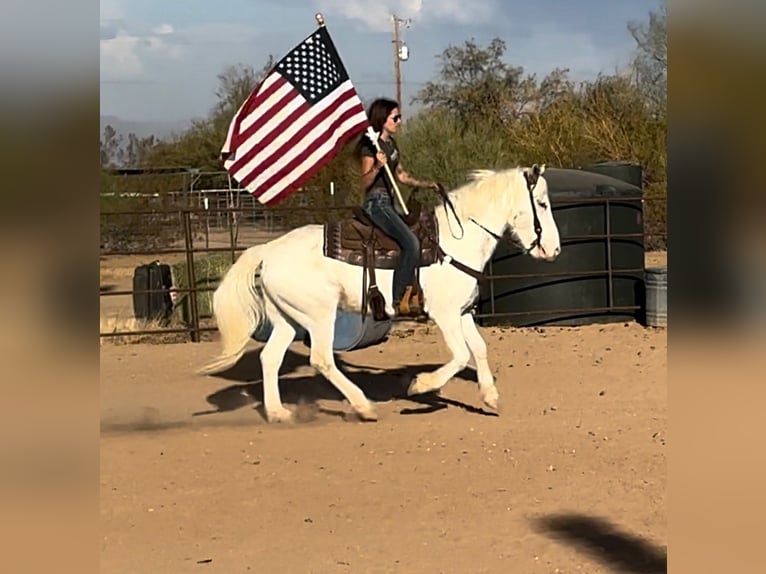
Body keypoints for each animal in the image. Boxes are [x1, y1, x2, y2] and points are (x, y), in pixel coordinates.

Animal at [201, 165, 560, 424]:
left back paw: (278, 413)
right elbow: (460, 356)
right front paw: (420, 384)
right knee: (321, 359)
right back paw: (363, 406)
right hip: (319, 316)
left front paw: (490, 396)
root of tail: (268, 249)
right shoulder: (444, 314)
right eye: (542, 203)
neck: (456, 240)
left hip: (288, 319)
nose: (554, 250)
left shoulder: (462, 312)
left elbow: (480, 349)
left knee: (270, 358)